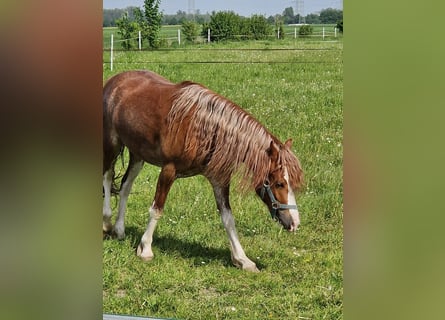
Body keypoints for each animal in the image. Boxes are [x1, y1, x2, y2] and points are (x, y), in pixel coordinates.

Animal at [103, 69, 304, 270]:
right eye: (279, 183)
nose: (294, 222)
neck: (201, 128)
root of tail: (115, 80)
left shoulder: (219, 179)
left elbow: (228, 218)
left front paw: (242, 259)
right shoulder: (168, 171)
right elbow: (157, 209)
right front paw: (145, 249)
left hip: (138, 154)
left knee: (125, 186)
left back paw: (119, 230)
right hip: (112, 144)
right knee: (107, 177)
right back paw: (106, 223)